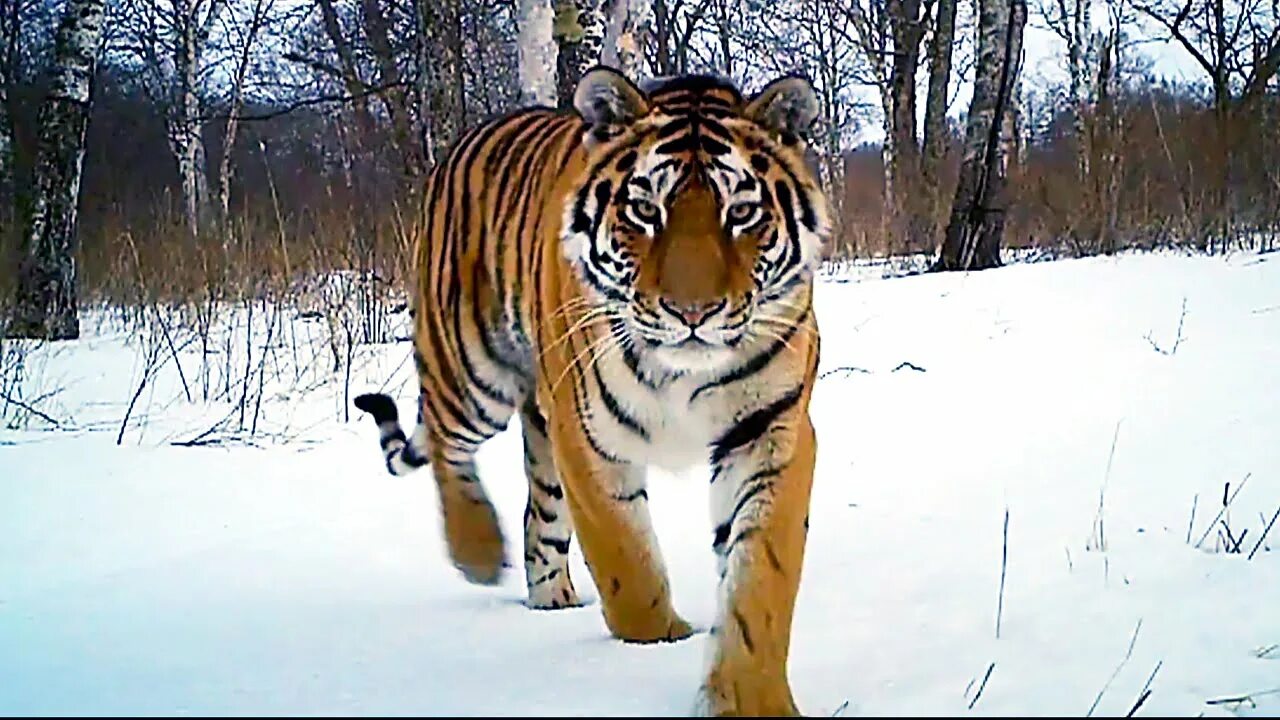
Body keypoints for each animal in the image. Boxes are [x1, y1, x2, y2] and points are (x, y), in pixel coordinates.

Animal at [353, 65, 829, 712]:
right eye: (645, 210)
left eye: (742, 212)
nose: (693, 313)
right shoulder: (588, 436)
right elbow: (627, 562)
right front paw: (660, 640)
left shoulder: (771, 432)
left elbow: (762, 579)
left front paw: (750, 700)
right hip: (472, 370)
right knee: (448, 444)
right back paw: (478, 551)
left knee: (538, 512)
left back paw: (549, 595)